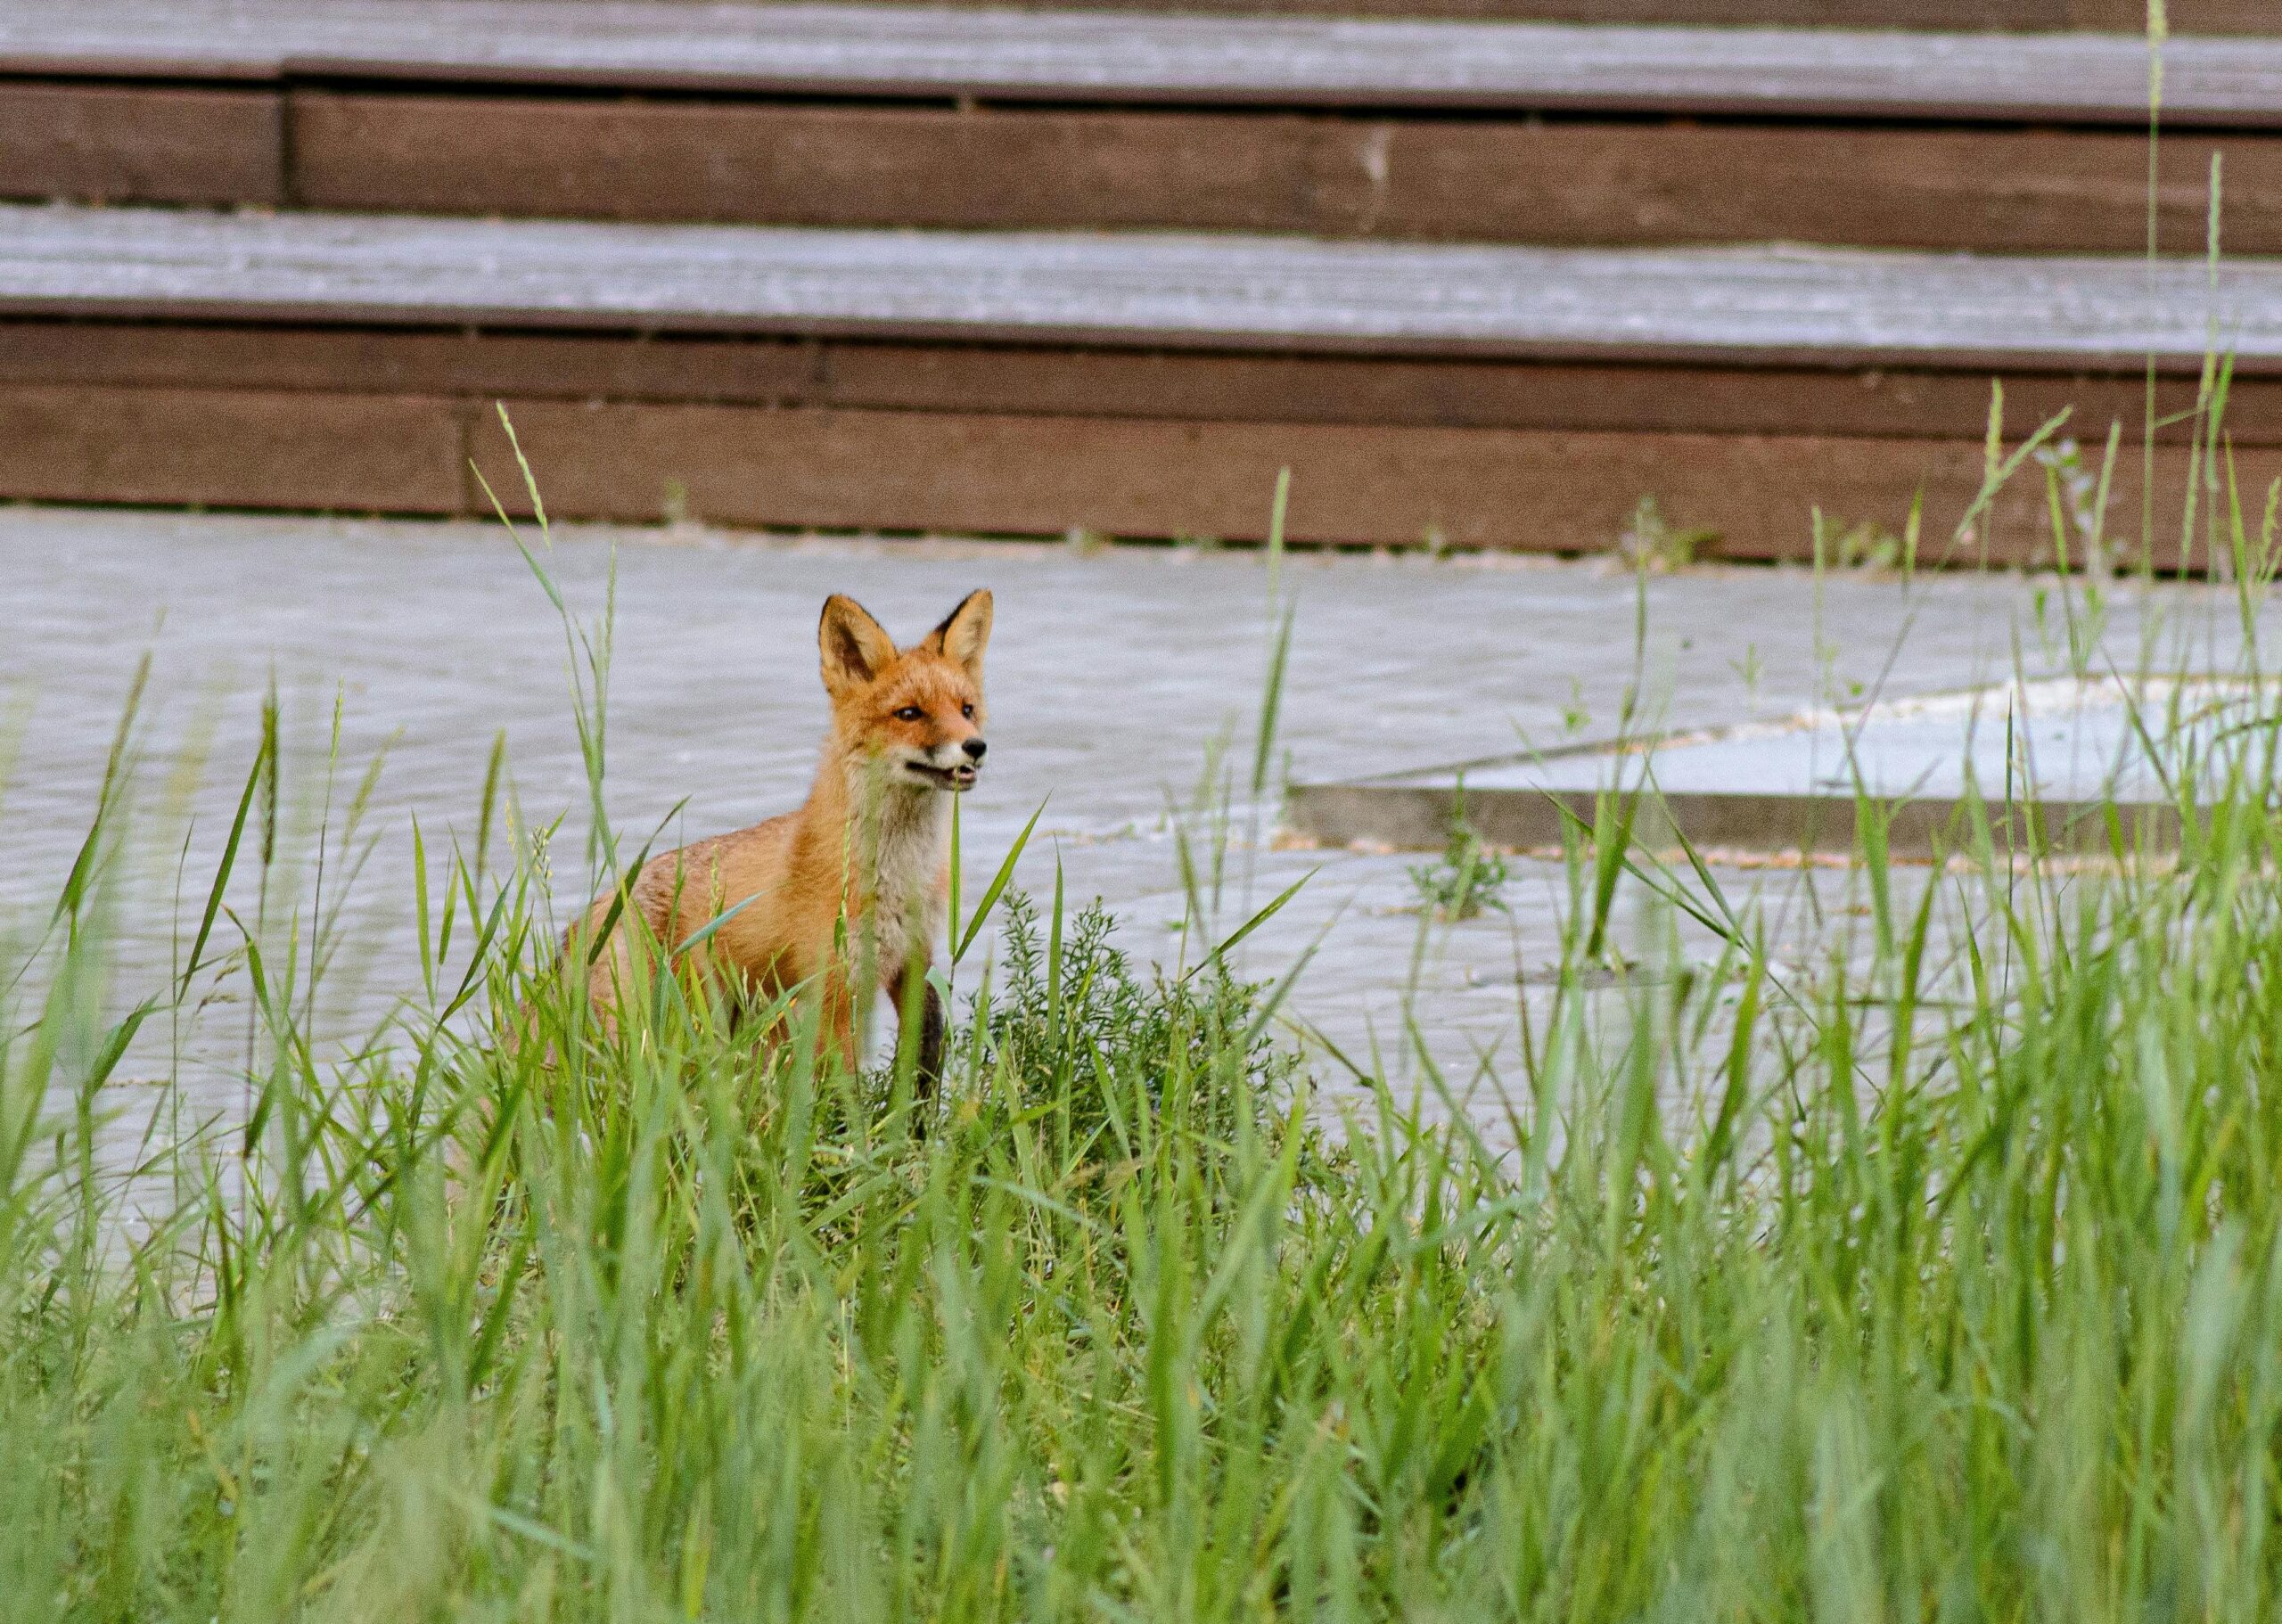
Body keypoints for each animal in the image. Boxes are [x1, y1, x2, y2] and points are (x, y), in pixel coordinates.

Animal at [569, 589, 993, 1095]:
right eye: (910, 713)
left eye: (966, 709)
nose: (976, 747)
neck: (894, 874)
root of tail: (601, 903)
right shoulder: (832, 990)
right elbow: (842, 1089)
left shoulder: (912, 961)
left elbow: (924, 1058)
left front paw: (914, 1117)